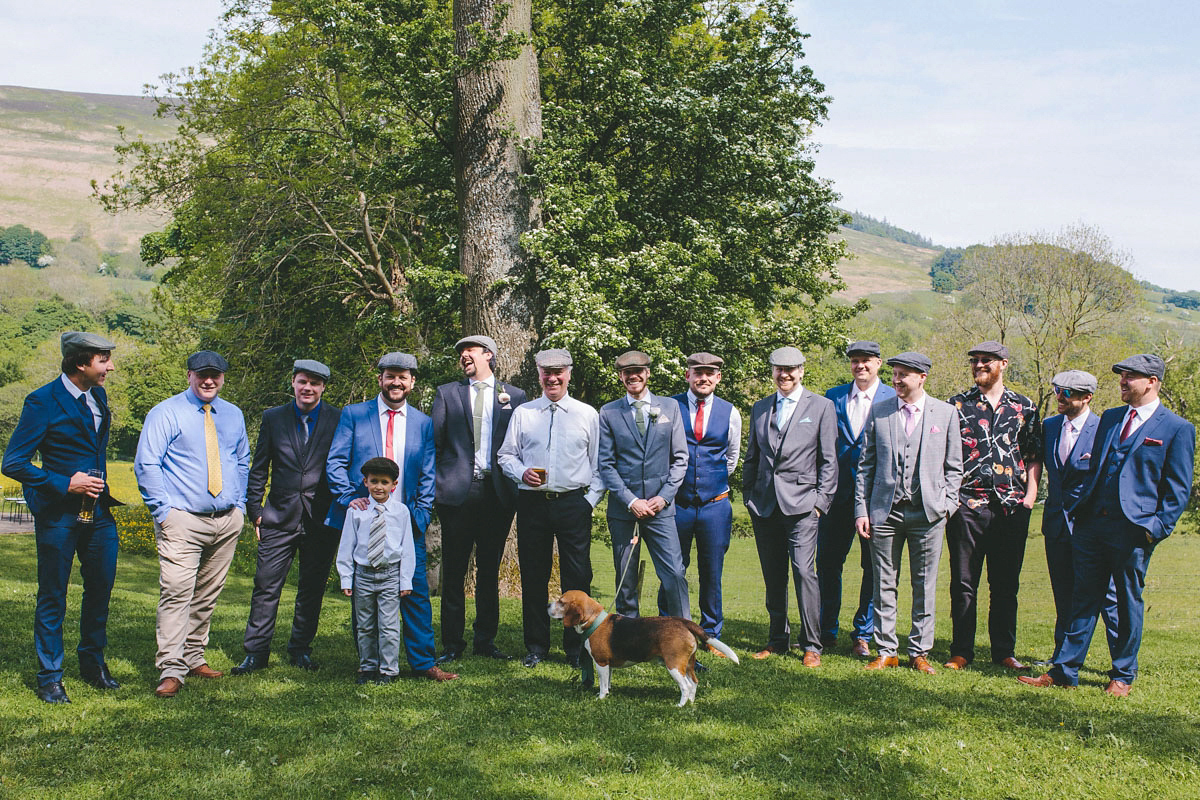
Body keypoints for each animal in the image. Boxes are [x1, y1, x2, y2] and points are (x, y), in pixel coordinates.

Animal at [549, 587, 734, 705]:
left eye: (561, 602)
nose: (548, 605)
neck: (594, 620)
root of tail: (683, 622)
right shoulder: (609, 665)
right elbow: (607, 681)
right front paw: (607, 694)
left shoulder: (601, 663)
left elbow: (602, 684)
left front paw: (600, 698)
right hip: (688, 664)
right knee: (694, 683)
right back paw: (691, 703)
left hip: (673, 665)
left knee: (686, 686)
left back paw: (680, 706)